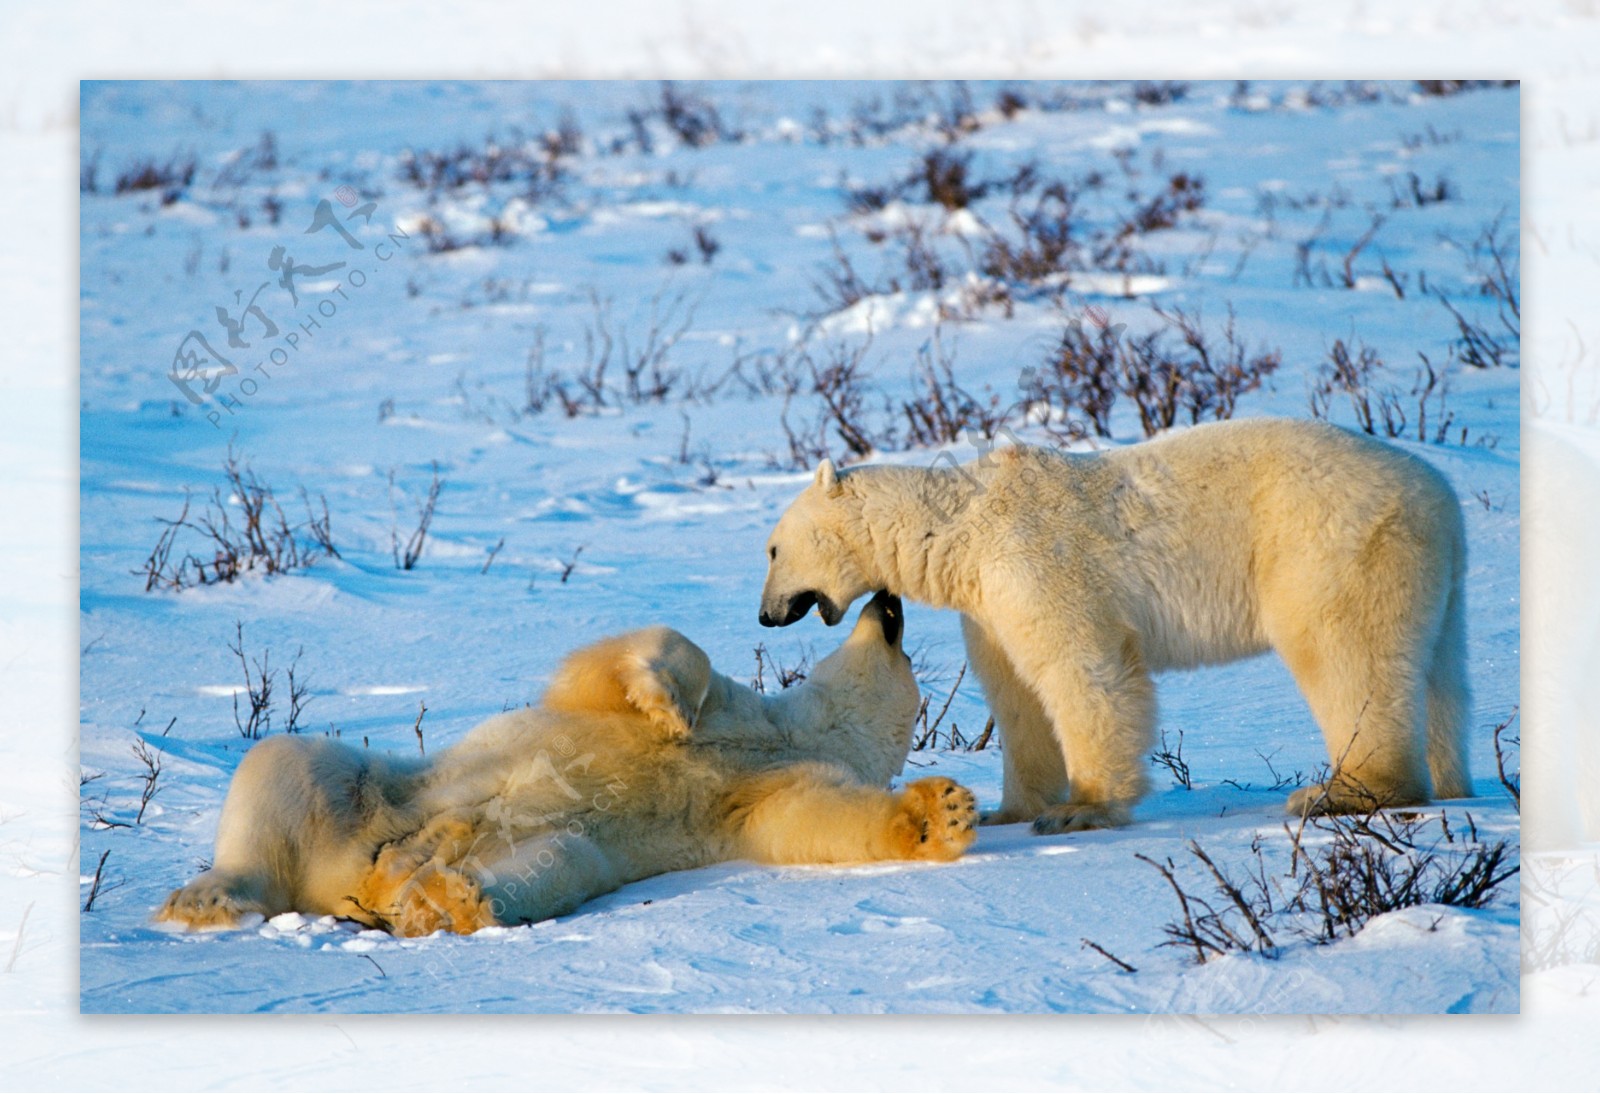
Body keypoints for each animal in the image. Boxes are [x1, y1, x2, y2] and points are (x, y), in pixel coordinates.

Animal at [159, 594, 972, 934]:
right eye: (899, 637)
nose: (890, 599)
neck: (783, 735)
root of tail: (342, 880)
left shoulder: (761, 794)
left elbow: (816, 821)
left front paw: (943, 814)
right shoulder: (732, 711)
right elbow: (639, 660)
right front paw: (666, 707)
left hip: (545, 848)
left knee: (549, 864)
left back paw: (439, 900)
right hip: (379, 788)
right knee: (282, 762)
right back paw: (205, 898)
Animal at [761, 415, 1472, 831]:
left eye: (770, 550)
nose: (765, 615)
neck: (961, 526)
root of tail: (1440, 494)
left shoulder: (1037, 560)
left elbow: (1083, 670)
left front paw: (1084, 808)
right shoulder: (990, 604)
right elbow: (1015, 693)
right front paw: (1007, 810)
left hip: (1325, 545)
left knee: (1344, 653)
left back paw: (1347, 791)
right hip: (1428, 574)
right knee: (1439, 673)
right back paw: (1453, 781)